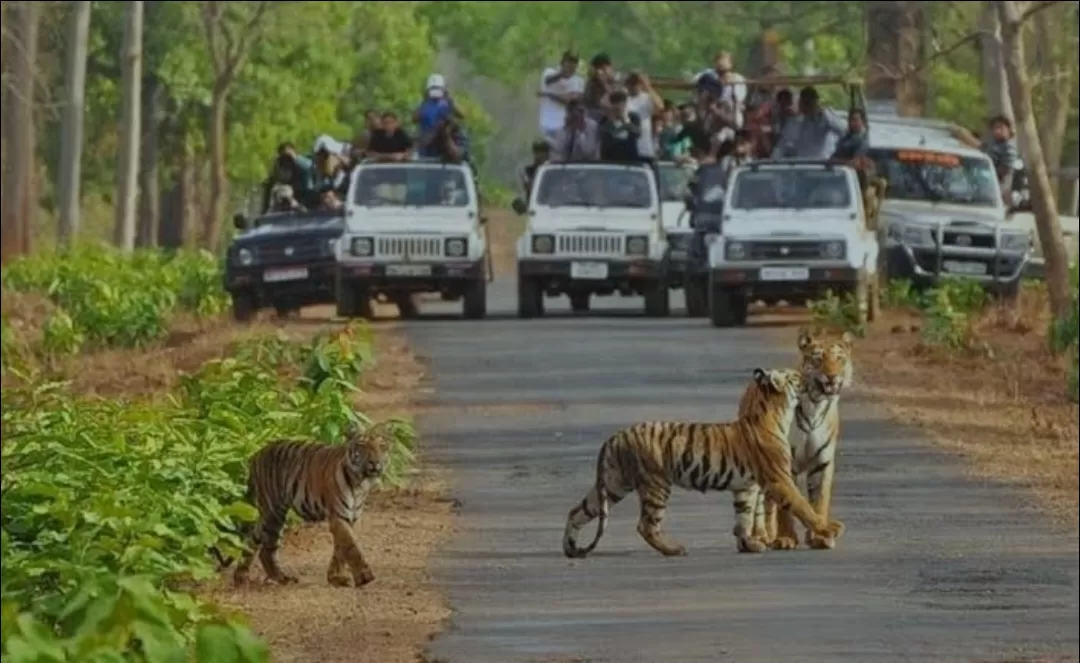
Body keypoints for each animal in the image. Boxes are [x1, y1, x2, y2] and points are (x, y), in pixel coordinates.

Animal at [214, 423, 393, 591]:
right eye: (362, 444)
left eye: (382, 445)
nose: (375, 463)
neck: (360, 481)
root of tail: (256, 455)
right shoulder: (339, 516)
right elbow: (351, 546)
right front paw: (364, 576)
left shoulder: (350, 517)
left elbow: (340, 548)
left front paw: (336, 578)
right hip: (273, 511)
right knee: (263, 545)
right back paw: (269, 578)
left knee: (256, 542)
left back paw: (253, 578)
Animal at [561, 369, 846, 561]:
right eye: (796, 376)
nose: (813, 379)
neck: (775, 413)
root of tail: (615, 437)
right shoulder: (779, 479)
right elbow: (803, 506)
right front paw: (829, 529)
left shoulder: (746, 487)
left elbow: (743, 517)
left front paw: (749, 545)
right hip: (656, 483)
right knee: (646, 525)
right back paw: (675, 549)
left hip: (613, 484)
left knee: (577, 511)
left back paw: (570, 548)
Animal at [743, 330, 851, 552]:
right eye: (818, 359)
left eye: (839, 359)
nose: (832, 376)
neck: (816, 404)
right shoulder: (785, 463)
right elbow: (786, 506)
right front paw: (785, 538)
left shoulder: (822, 462)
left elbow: (819, 501)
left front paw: (820, 537)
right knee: (761, 502)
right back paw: (761, 537)